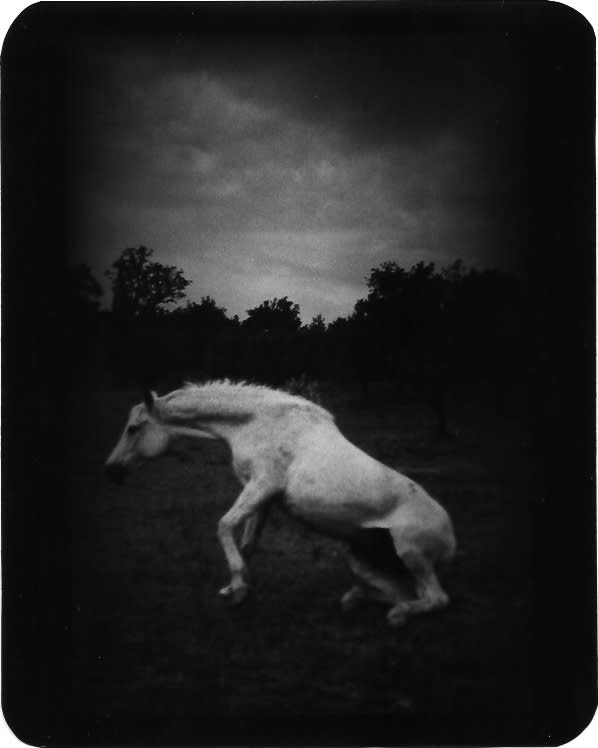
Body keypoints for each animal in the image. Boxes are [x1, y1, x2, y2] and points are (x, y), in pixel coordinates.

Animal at [104, 380, 456, 627]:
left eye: (133, 428)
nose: (110, 471)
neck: (255, 422)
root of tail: (451, 539)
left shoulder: (262, 486)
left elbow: (224, 526)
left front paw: (238, 589)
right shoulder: (263, 498)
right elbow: (246, 544)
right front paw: (236, 587)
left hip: (412, 553)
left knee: (435, 599)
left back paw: (397, 616)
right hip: (361, 561)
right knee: (400, 593)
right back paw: (355, 600)